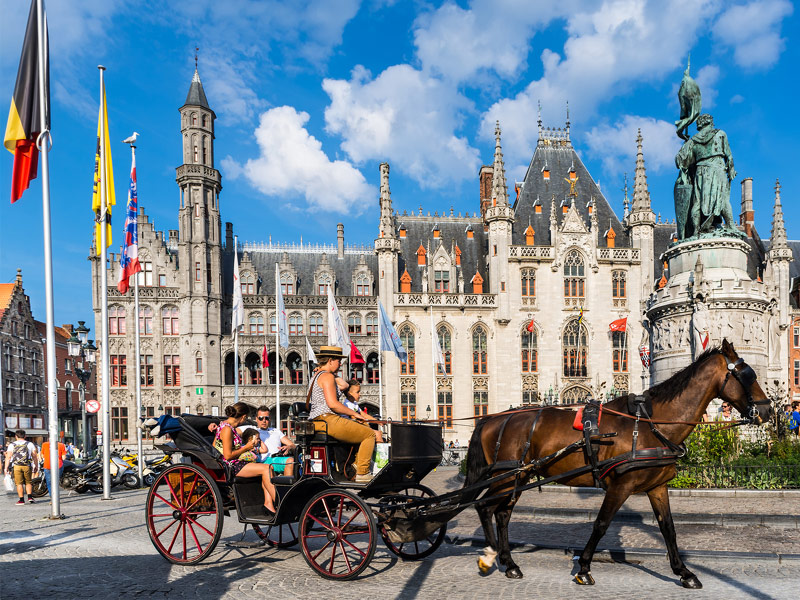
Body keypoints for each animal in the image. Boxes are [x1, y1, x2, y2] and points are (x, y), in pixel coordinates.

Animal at [466, 340, 772, 588]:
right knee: (485, 508)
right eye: (748, 374)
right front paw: (584, 568)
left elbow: (668, 528)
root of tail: (491, 418)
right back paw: (491, 557)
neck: (651, 424)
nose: (767, 410)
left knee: (501, 514)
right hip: (508, 476)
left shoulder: (657, 487)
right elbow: (601, 524)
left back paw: (509, 564)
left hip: (519, 477)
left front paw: (684, 572)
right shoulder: (620, 485)